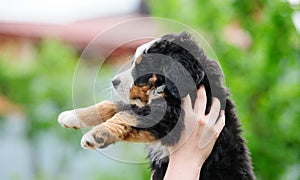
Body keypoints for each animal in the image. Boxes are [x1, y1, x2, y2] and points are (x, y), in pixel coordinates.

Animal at [57, 31, 254, 179]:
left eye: (143, 66)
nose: (114, 82)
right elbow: (115, 106)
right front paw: (73, 116)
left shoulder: (171, 116)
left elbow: (125, 115)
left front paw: (97, 134)